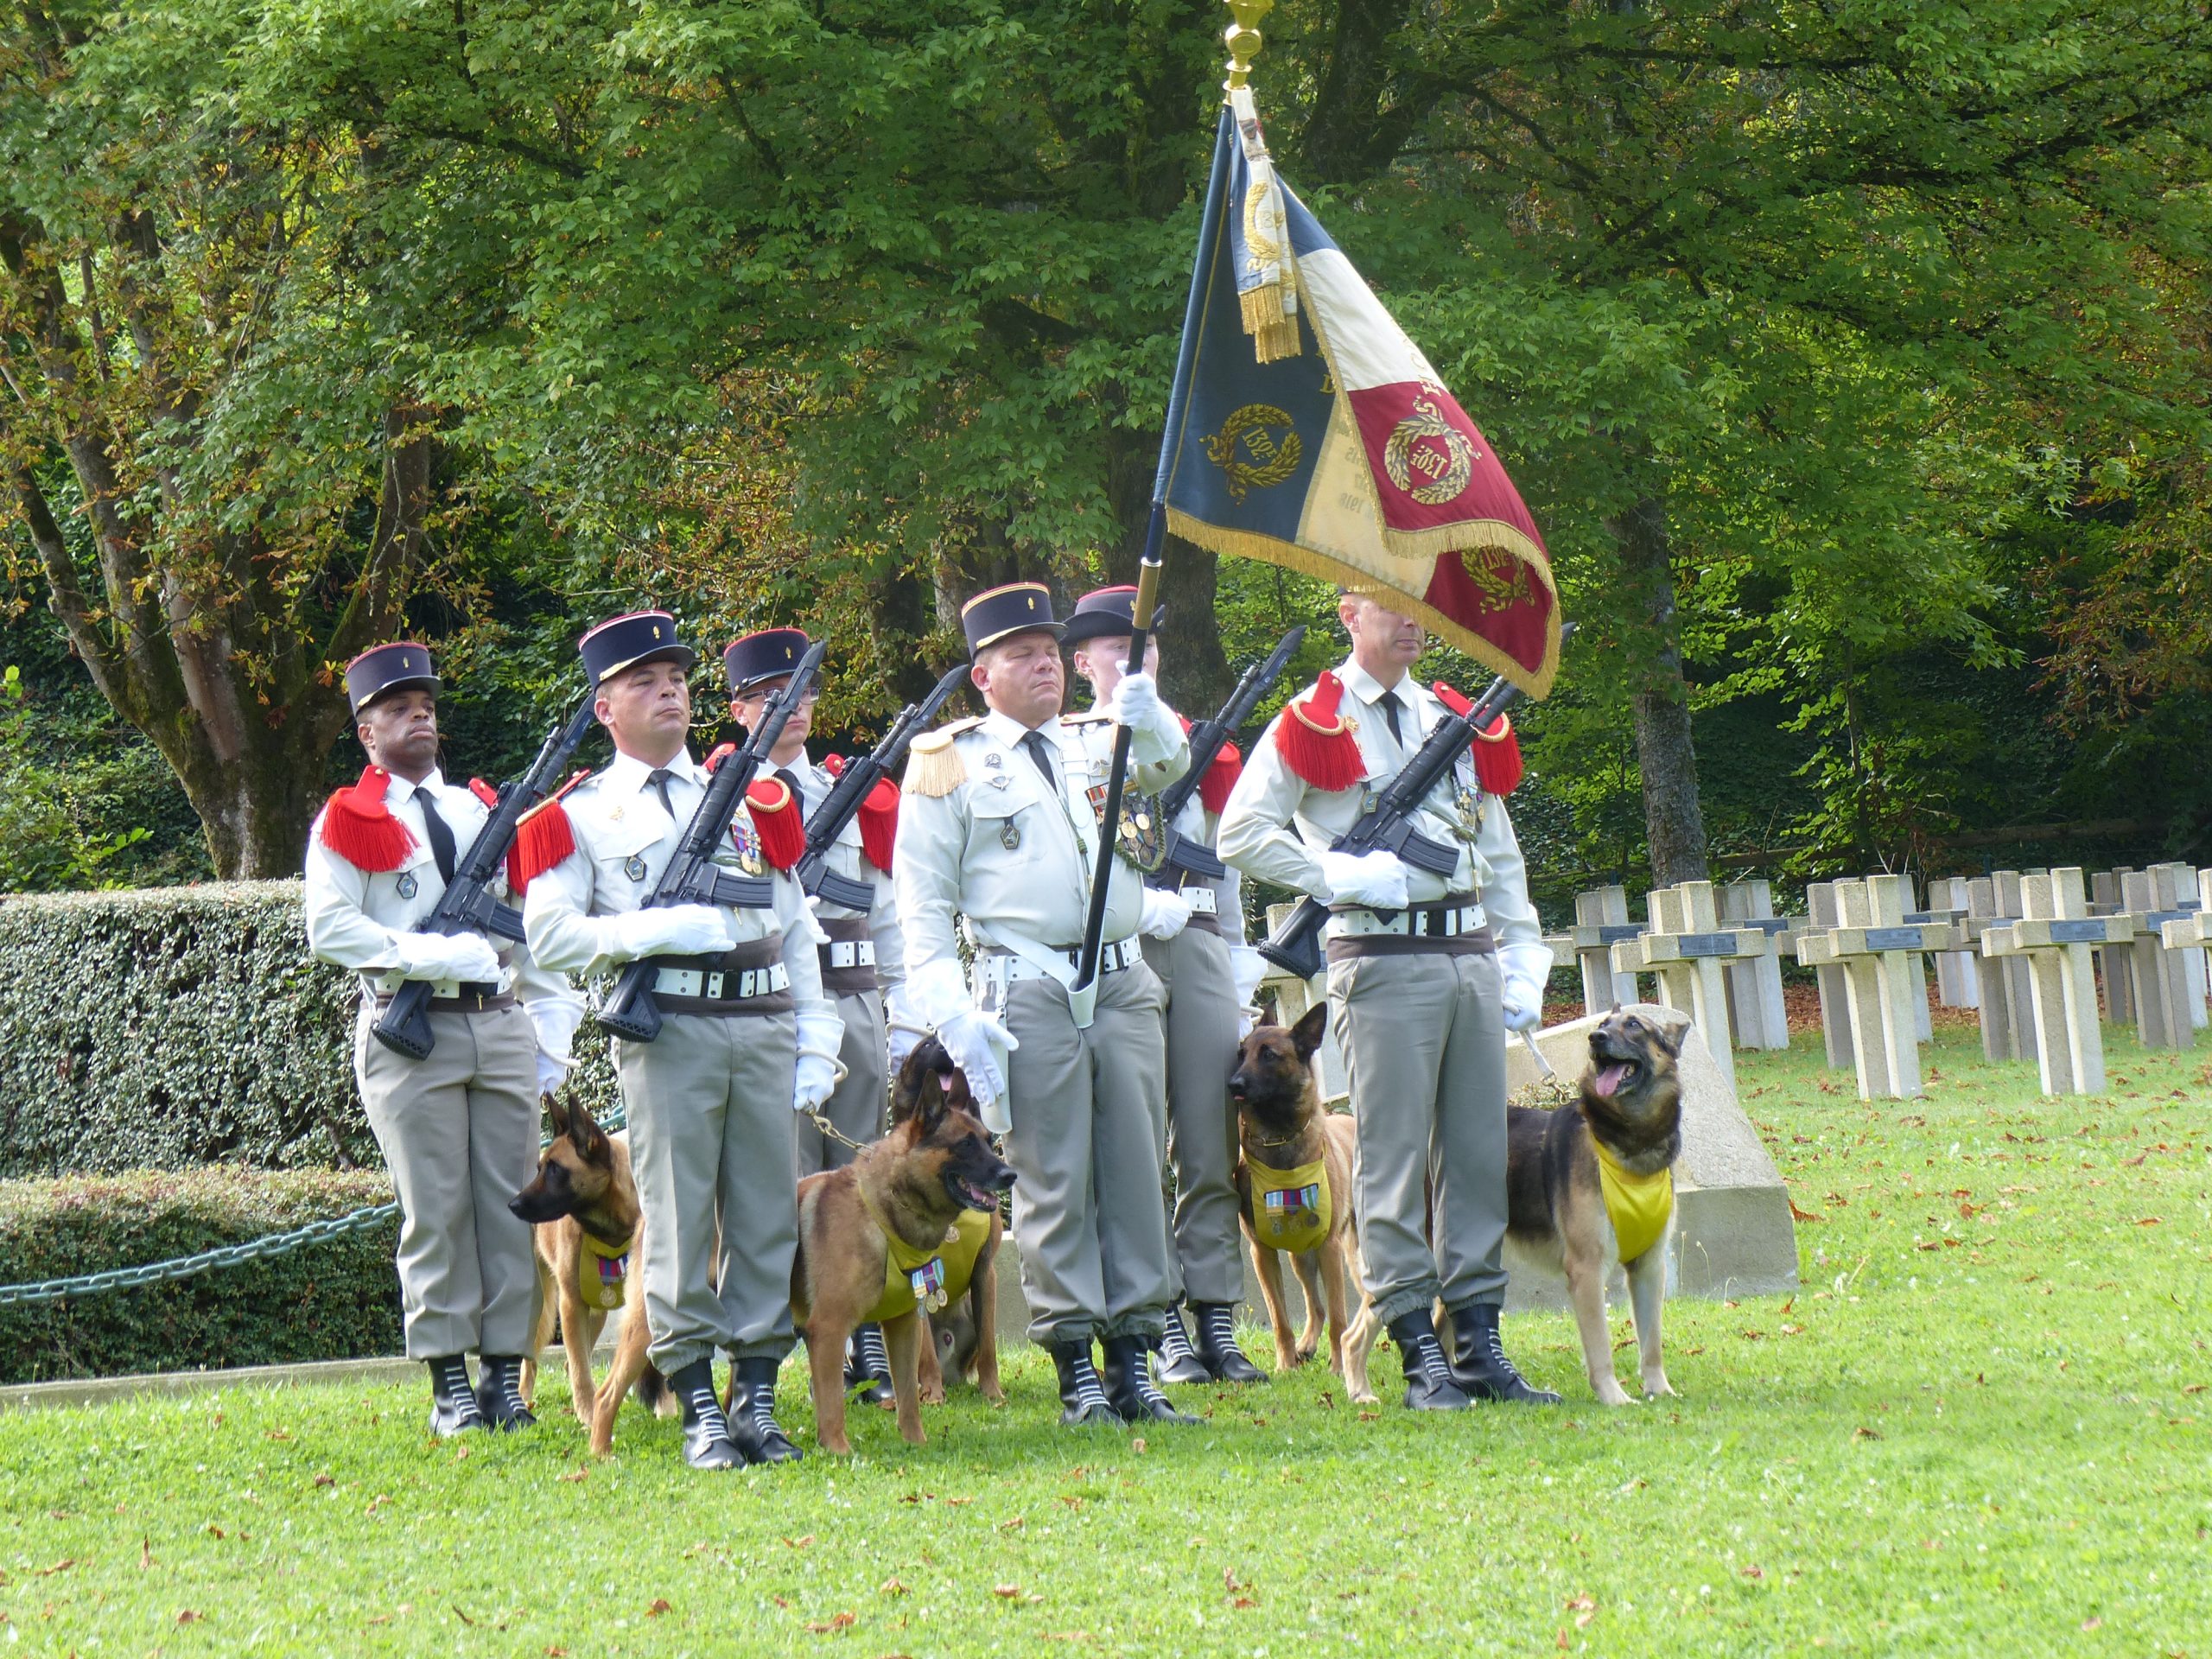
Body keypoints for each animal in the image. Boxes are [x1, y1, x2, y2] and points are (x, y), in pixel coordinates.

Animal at [508, 1092, 672, 1442]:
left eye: (555, 1170)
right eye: (540, 1169)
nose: (512, 1204)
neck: (611, 1229)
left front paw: (665, 1407)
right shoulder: (571, 1304)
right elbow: (582, 1371)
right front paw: (588, 1414)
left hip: (596, 1313)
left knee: (572, 1361)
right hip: (546, 1310)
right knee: (537, 1362)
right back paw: (524, 1400)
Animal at [791, 1044, 1013, 1459]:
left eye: (988, 1140)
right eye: (964, 1144)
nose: (1010, 1176)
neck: (884, 1211)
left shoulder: (910, 1316)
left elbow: (911, 1391)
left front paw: (917, 1443)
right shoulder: (830, 1328)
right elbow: (835, 1402)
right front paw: (839, 1449)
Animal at [1230, 1008, 1362, 1397]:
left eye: (1269, 1055)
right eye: (1240, 1054)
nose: (1233, 1084)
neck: (1281, 1138)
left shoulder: (1330, 1249)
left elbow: (1339, 1316)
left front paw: (1338, 1366)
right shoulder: (1262, 1253)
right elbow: (1280, 1319)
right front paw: (1285, 1364)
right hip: (1300, 1257)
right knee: (1314, 1307)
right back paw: (1306, 1346)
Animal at [1503, 1008, 1689, 1407]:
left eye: (1634, 1025)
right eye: (1603, 1023)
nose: (1595, 1038)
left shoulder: (1650, 1268)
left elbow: (1652, 1343)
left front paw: (1658, 1389)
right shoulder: (1587, 1270)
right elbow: (1601, 1346)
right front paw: (1613, 1397)